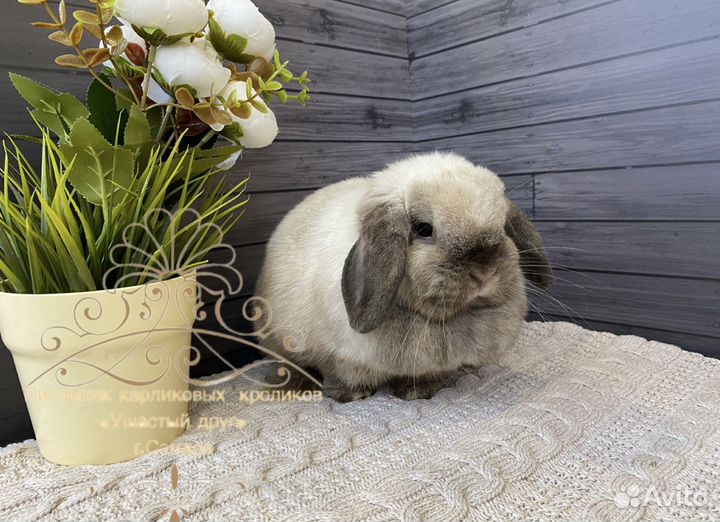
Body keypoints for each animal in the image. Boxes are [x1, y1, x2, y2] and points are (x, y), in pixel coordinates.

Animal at [254, 152, 552, 401]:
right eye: (423, 229)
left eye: (503, 228)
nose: (484, 272)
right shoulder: (335, 354)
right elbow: (339, 375)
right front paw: (352, 395)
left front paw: (416, 392)